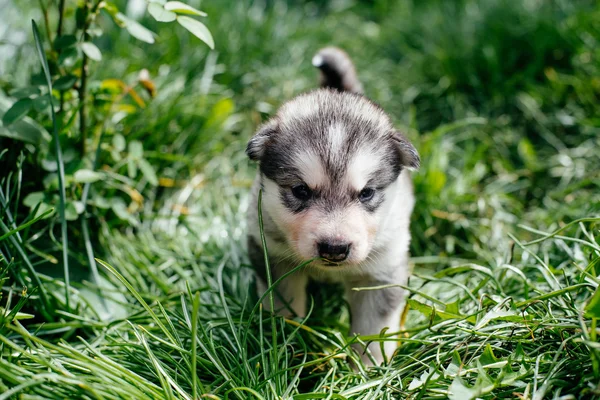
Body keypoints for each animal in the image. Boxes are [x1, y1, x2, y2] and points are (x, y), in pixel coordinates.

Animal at [246, 47, 420, 366]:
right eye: (300, 190)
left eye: (366, 193)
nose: (334, 249)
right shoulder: (272, 255)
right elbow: (284, 305)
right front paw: (286, 344)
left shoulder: (381, 272)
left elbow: (373, 327)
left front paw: (368, 367)